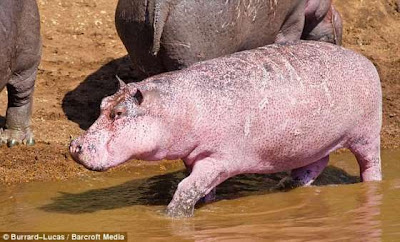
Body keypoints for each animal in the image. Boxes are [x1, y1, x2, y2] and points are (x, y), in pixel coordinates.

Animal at [70, 41, 382, 217]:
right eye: (102, 103)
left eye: (119, 113)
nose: (75, 145)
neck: (178, 108)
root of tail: (363, 59)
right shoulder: (193, 157)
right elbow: (199, 188)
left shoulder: (219, 159)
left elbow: (186, 188)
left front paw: (166, 217)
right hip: (309, 143)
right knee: (313, 166)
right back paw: (284, 186)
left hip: (366, 136)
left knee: (370, 167)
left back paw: (371, 188)